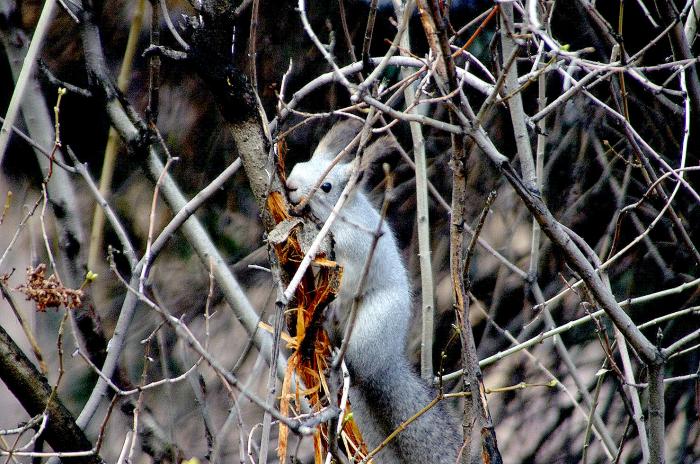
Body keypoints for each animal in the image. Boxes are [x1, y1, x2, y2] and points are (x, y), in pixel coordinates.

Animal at [284, 120, 460, 464]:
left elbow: (343, 264)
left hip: (370, 328)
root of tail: (386, 361)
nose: (291, 185)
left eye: (327, 187)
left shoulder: (358, 245)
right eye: (300, 164)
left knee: (357, 365)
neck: (341, 215)